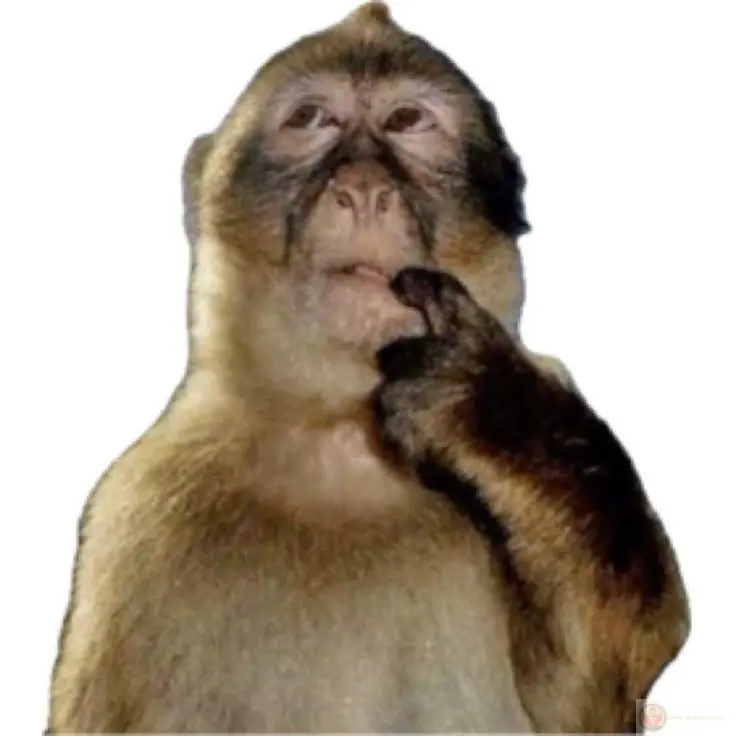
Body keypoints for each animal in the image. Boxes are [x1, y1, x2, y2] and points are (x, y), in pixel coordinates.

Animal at [48, 2, 689, 733]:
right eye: (310, 119)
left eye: (407, 121)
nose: (362, 190)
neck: (340, 435)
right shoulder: (133, 520)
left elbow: (598, 703)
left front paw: (493, 409)